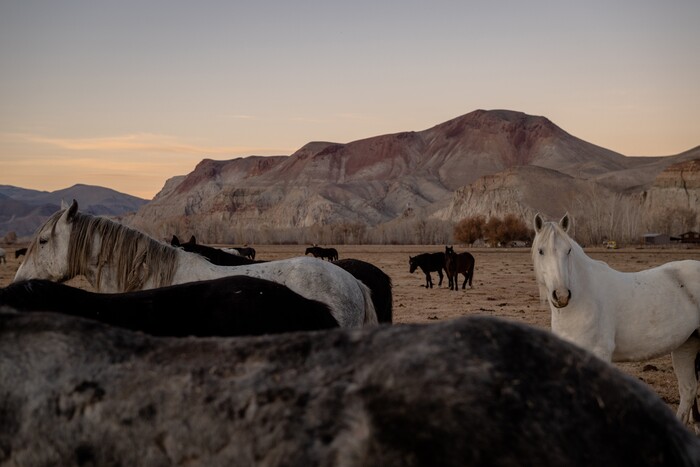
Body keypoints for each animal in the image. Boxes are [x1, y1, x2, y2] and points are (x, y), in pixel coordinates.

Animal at [532, 212, 700, 430]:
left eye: (568, 250)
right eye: (541, 251)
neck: (583, 298)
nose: (561, 295)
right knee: (688, 390)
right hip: (686, 346)